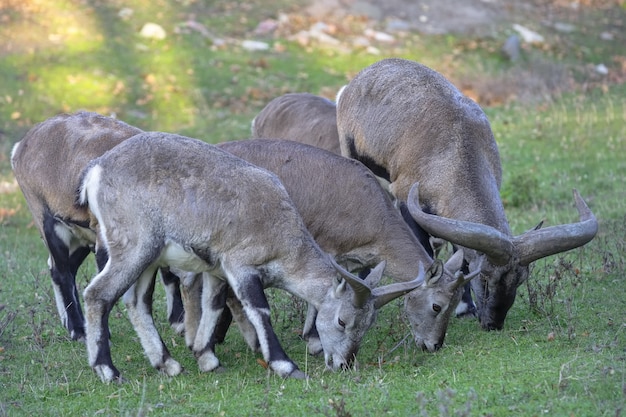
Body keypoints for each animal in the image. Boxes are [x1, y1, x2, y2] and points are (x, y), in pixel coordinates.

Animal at [10, 111, 183, 342]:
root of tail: (20, 147)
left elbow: (169, 273)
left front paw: (179, 320)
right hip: (48, 220)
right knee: (62, 272)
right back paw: (78, 330)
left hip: (82, 235)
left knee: (63, 268)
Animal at [77, 132, 420, 382]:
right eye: (342, 320)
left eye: (368, 324)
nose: (343, 364)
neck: (279, 227)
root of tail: (97, 169)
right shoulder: (240, 265)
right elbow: (260, 310)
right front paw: (286, 366)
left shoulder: (217, 270)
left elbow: (213, 304)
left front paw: (207, 358)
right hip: (134, 247)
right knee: (97, 294)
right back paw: (108, 371)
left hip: (149, 259)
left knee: (137, 302)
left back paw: (168, 364)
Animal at [176, 138, 478, 352]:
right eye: (437, 306)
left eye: (455, 305)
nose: (433, 345)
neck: (371, 213)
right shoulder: (326, 247)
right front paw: (314, 340)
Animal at [334, 58, 596, 330]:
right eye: (486, 277)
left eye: (521, 278)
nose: (493, 323)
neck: (457, 148)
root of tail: (356, 81)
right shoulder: (407, 198)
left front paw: (465, 308)